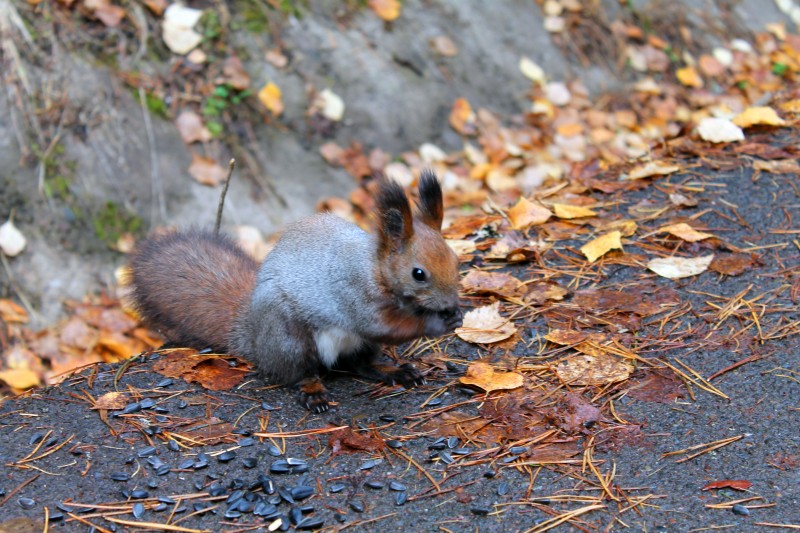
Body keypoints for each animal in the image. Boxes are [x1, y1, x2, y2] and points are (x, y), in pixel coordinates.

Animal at [126, 170, 462, 412]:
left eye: (456, 260)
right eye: (418, 274)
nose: (450, 303)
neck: (375, 268)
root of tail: (254, 337)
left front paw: (453, 315)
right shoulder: (353, 293)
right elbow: (382, 324)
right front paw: (436, 323)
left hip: (360, 345)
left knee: (360, 364)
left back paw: (394, 371)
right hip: (288, 337)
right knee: (298, 372)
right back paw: (313, 392)